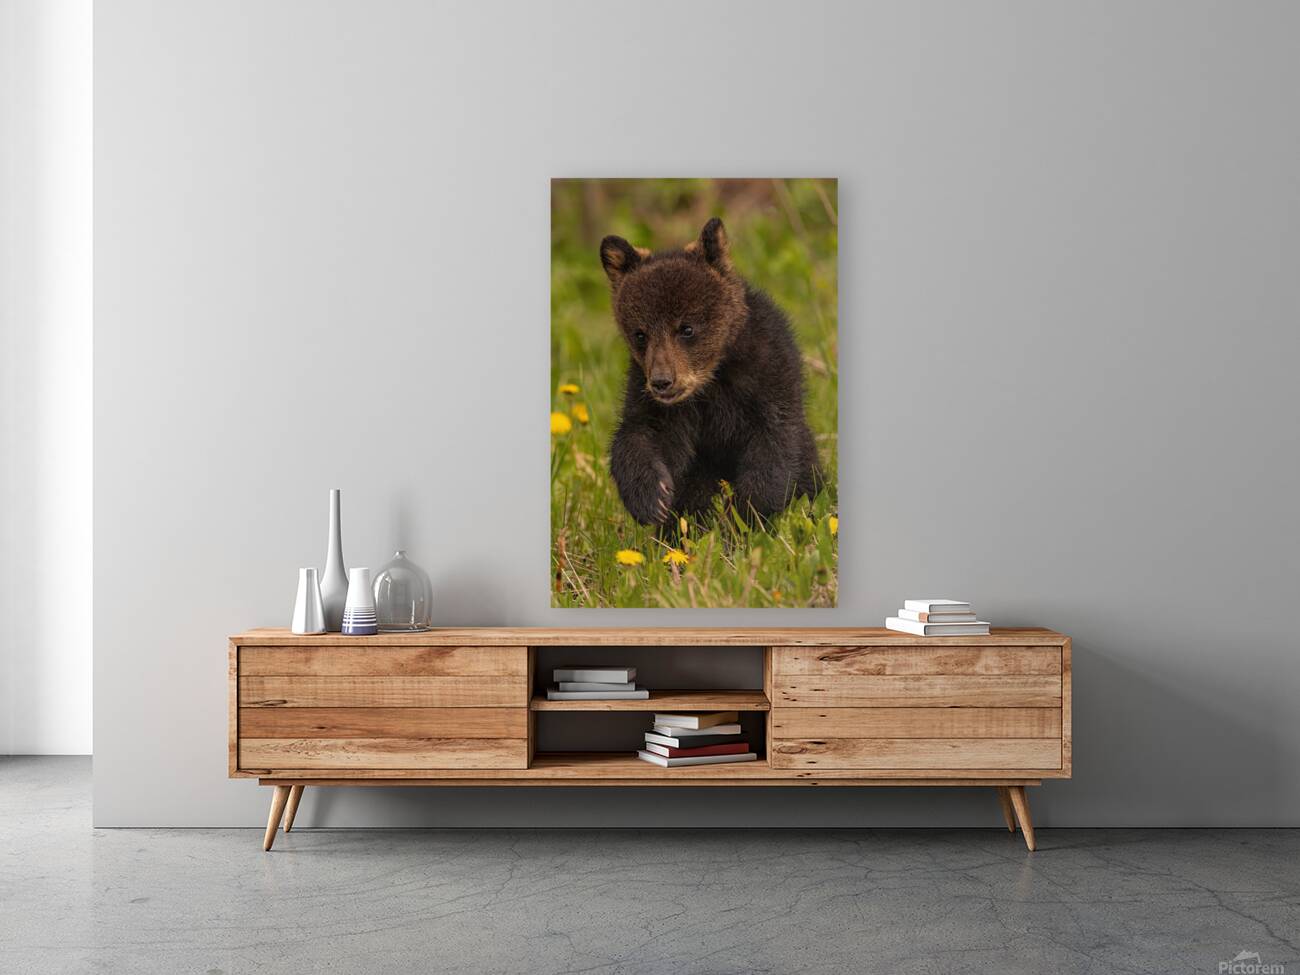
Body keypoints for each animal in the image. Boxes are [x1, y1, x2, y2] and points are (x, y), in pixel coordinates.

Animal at [600, 217, 821, 527]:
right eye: (640, 334)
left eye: (687, 328)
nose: (662, 382)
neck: (712, 378)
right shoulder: (656, 398)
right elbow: (643, 433)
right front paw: (652, 498)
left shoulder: (768, 375)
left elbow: (775, 443)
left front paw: (743, 516)